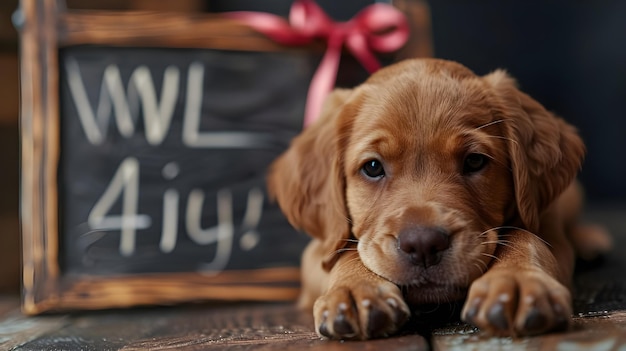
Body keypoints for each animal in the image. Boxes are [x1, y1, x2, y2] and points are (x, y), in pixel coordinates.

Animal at [266, 58, 608, 340]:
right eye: (373, 167)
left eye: (474, 161)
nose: (424, 245)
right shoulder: (317, 250)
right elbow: (345, 251)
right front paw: (355, 291)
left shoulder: (547, 226)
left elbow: (526, 237)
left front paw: (518, 282)